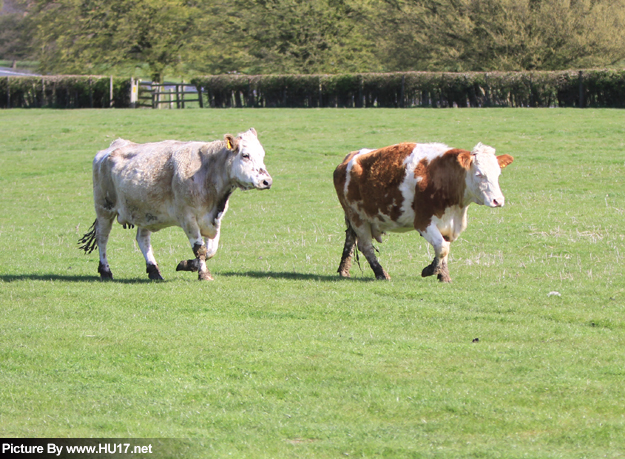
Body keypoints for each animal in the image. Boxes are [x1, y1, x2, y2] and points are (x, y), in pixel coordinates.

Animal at [77, 127, 270, 282]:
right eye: (245, 155)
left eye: (262, 155)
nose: (267, 181)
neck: (207, 172)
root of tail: (111, 147)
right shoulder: (188, 218)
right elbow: (200, 249)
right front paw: (203, 274)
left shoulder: (215, 219)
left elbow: (211, 250)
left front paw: (188, 264)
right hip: (104, 208)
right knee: (102, 237)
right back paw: (105, 271)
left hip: (145, 211)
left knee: (142, 239)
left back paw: (154, 270)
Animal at [332, 142, 512, 282]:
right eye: (479, 174)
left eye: (498, 174)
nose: (498, 201)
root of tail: (350, 158)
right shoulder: (424, 222)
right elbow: (442, 247)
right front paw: (430, 270)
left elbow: (444, 248)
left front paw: (443, 275)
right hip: (357, 217)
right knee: (365, 246)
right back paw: (381, 273)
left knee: (350, 239)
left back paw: (344, 270)